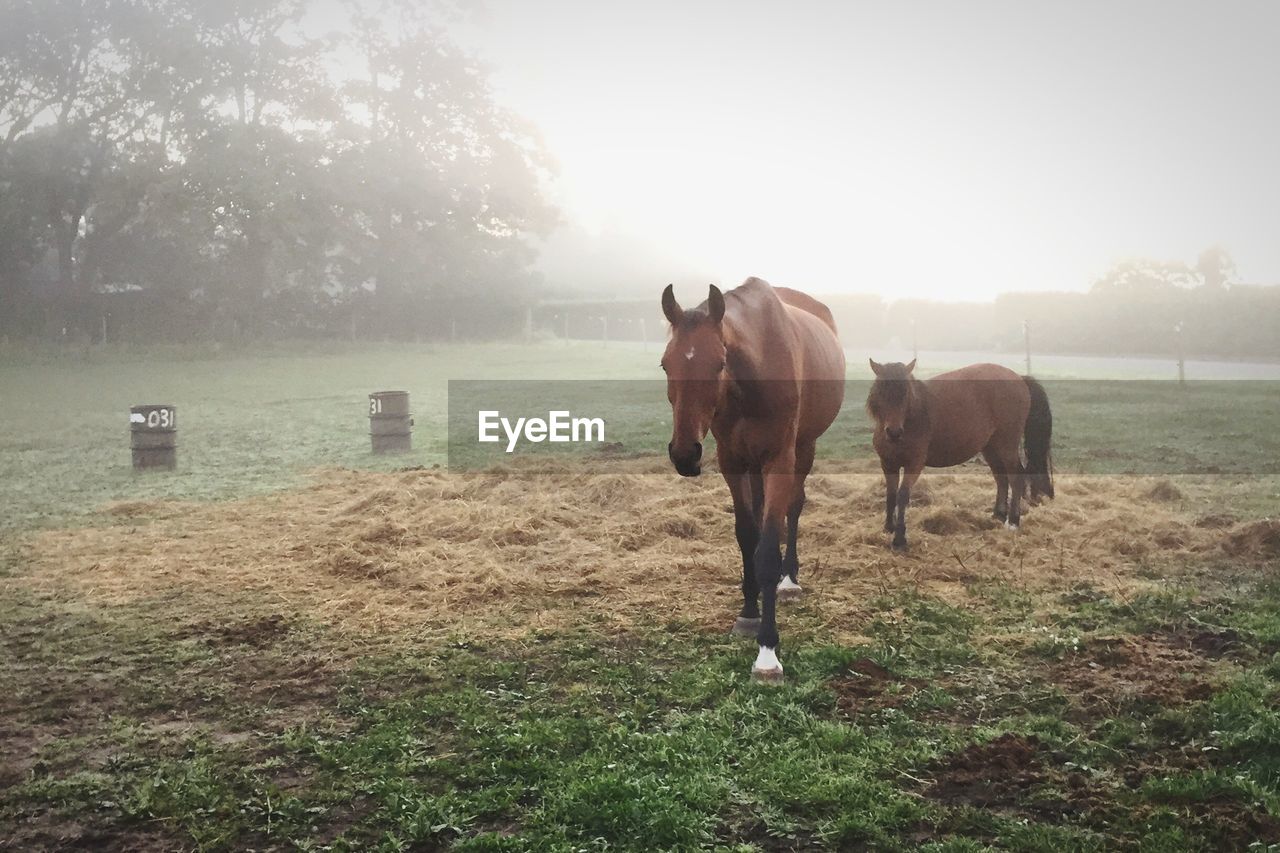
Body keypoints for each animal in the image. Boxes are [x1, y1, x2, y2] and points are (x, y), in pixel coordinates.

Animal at [665, 275, 844, 681]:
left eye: (719, 364)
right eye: (665, 364)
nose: (684, 454)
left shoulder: (779, 459)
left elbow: (768, 549)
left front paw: (767, 652)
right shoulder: (732, 460)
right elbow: (748, 536)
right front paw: (749, 613)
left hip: (804, 447)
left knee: (793, 508)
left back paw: (789, 581)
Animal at [865, 356, 1054, 548]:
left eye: (905, 395)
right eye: (880, 394)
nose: (894, 432)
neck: (913, 419)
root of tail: (1019, 378)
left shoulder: (914, 464)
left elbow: (902, 495)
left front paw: (899, 539)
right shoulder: (888, 464)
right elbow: (890, 495)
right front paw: (888, 527)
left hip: (1006, 445)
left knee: (1016, 477)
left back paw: (1013, 522)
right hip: (991, 448)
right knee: (1001, 478)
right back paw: (998, 515)